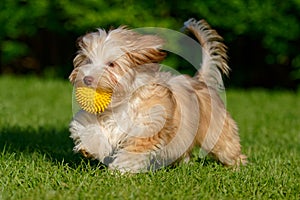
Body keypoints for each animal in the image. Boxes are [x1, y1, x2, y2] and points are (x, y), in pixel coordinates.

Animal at [69, 18, 247, 173]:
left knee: (227, 148)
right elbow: (88, 127)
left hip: (216, 132)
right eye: (88, 61)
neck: (122, 100)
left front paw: (120, 172)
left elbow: (133, 152)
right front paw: (90, 147)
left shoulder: (148, 126)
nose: (87, 79)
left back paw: (238, 168)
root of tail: (200, 81)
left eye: (111, 64)